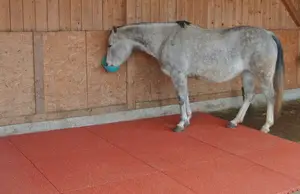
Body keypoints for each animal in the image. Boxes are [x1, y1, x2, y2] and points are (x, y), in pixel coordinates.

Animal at [105, 20, 284, 133]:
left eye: (110, 45)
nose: (107, 64)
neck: (166, 38)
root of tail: (268, 34)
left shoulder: (177, 75)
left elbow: (181, 98)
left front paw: (180, 124)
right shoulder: (182, 76)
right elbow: (186, 96)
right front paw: (188, 119)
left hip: (264, 75)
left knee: (270, 95)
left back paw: (266, 126)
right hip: (247, 73)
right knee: (249, 95)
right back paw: (234, 121)